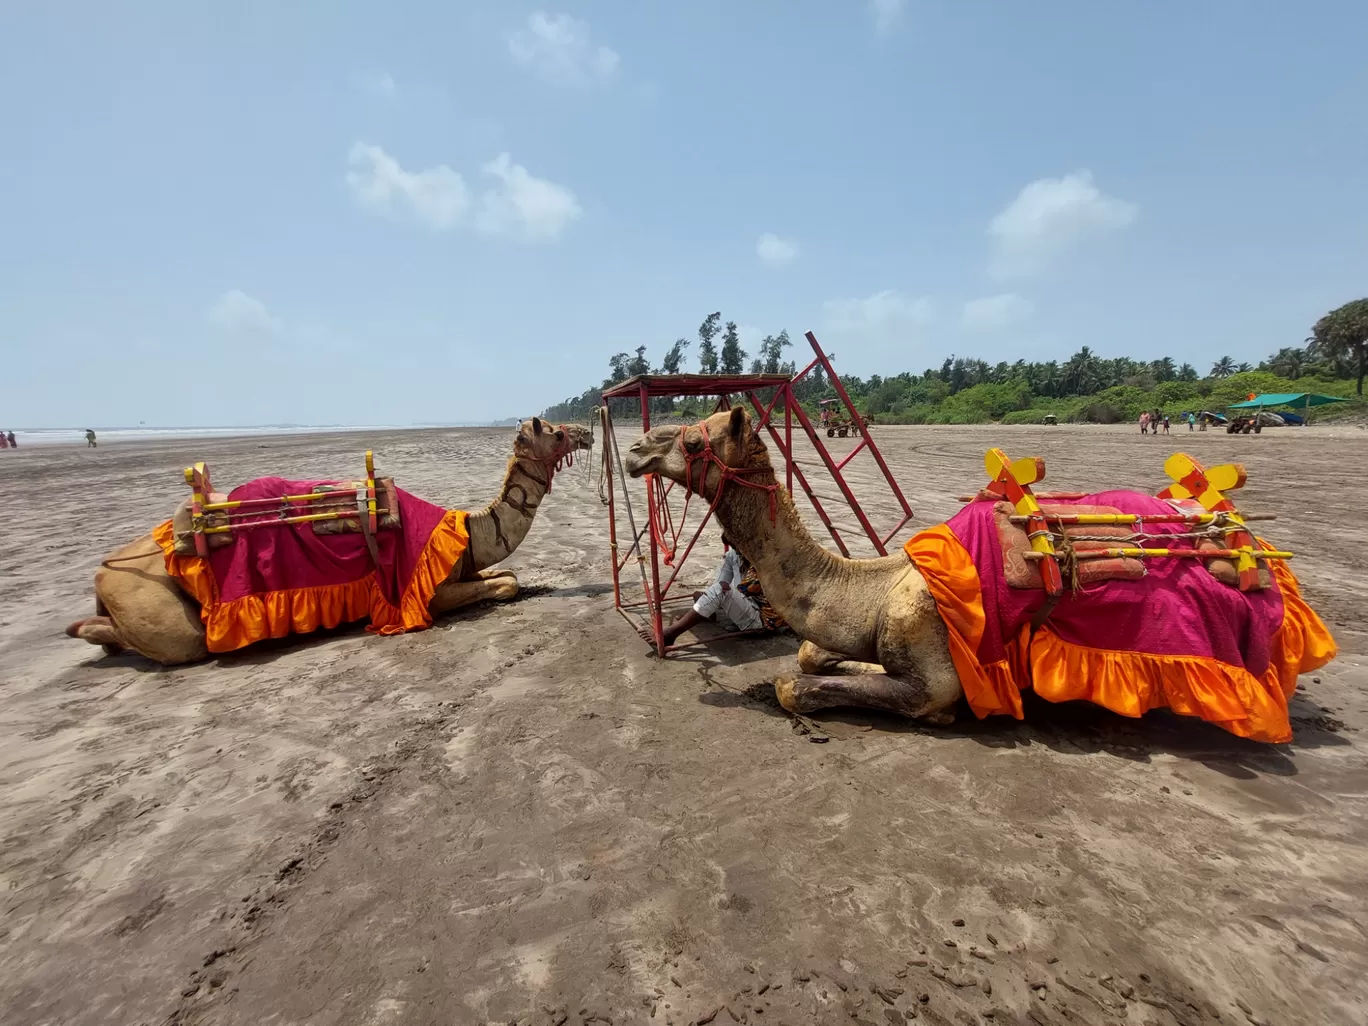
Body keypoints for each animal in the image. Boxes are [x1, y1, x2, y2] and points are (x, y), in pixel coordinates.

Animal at [68, 418, 593, 667]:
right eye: (556, 432)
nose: (587, 432)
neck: (465, 527)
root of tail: (102, 570)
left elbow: (506, 574)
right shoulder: (427, 592)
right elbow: (504, 583)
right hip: (159, 611)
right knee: (171, 641)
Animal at [626, 404, 1335, 744]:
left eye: (695, 439)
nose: (634, 449)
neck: (870, 585)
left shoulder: (932, 669)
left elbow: (795, 686)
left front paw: (943, 717)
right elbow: (807, 656)